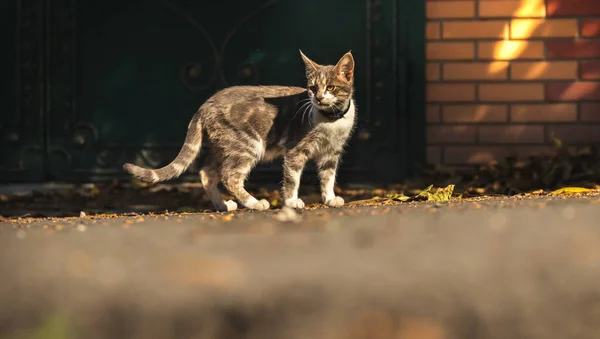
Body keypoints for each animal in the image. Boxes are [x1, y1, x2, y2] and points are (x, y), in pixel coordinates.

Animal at [123, 50, 356, 211]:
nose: (318, 98)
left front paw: (329, 198)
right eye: (312, 88)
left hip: (223, 146)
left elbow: (328, 176)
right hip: (246, 144)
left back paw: (223, 205)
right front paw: (291, 201)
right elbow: (292, 178)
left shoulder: (332, 152)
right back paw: (254, 203)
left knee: (207, 172)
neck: (331, 120)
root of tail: (204, 105)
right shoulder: (296, 150)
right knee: (230, 176)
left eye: (331, 87)